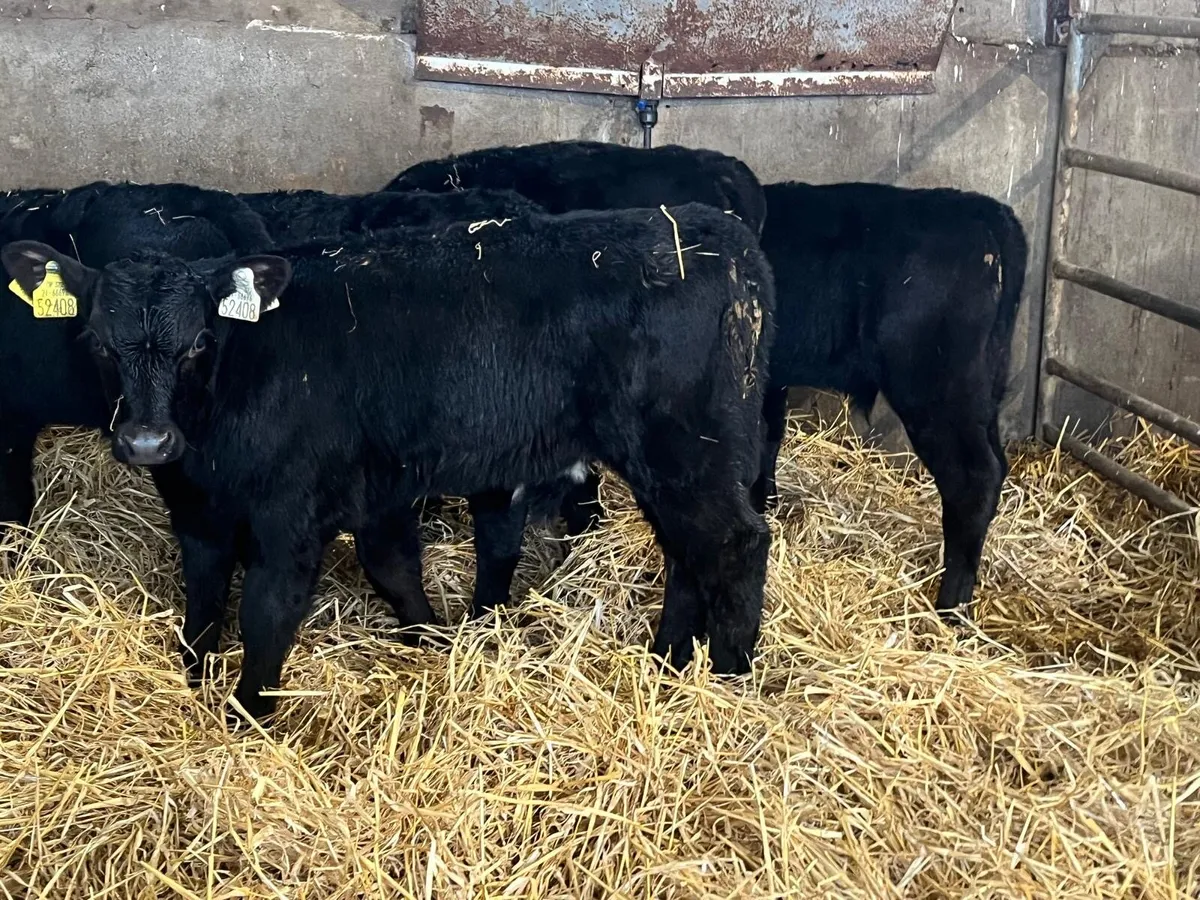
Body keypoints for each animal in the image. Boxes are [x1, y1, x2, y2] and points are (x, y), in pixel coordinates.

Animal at [3, 202, 775, 721]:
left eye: (198, 341)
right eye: (98, 343)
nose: (145, 443)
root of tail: (717, 233)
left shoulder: (291, 513)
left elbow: (267, 611)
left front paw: (247, 716)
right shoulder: (210, 510)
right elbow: (209, 602)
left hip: (687, 446)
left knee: (736, 543)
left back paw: (732, 682)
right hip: (667, 461)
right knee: (686, 551)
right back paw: (668, 662)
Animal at [751, 182, 1028, 617]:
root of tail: (988, 213)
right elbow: (768, 438)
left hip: (933, 388)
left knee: (974, 478)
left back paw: (950, 605)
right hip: (984, 387)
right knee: (995, 465)